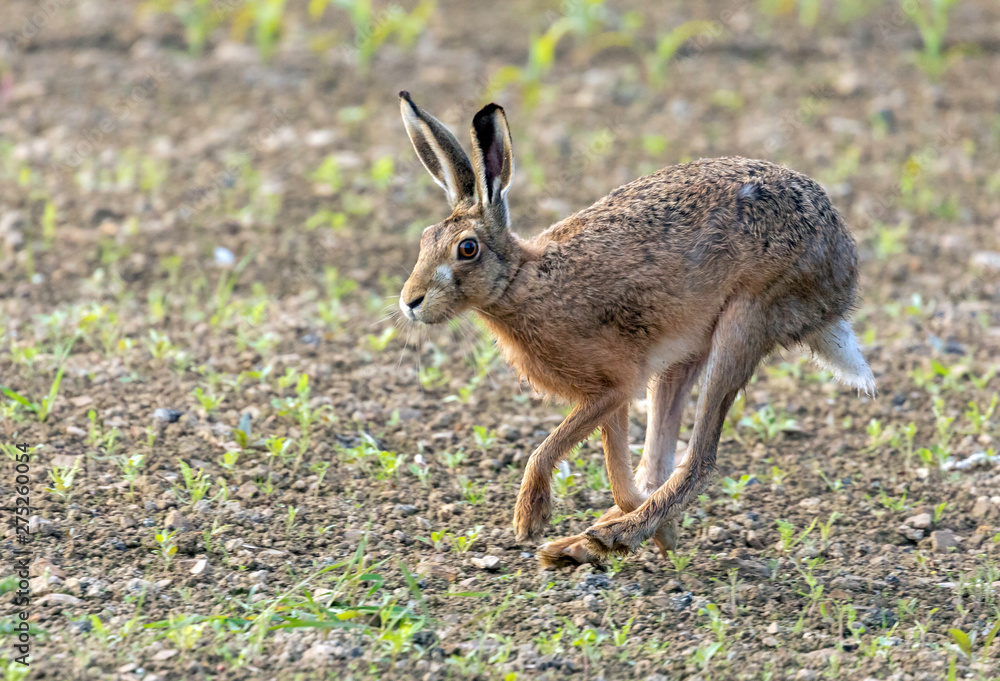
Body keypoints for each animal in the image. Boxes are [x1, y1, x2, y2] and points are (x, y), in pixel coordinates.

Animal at [396, 90, 874, 567]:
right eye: (423, 240)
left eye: (467, 249)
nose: (410, 302)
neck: (522, 280)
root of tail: (842, 273)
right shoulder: (611, 395)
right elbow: (619, 468)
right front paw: (651, 531)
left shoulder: (613, 387)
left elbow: (556, 451)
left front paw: (531, 519)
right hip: (687, 352)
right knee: (660, 458)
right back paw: (592, 542)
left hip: (746, 321)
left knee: (700, 460)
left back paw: (617, 534)